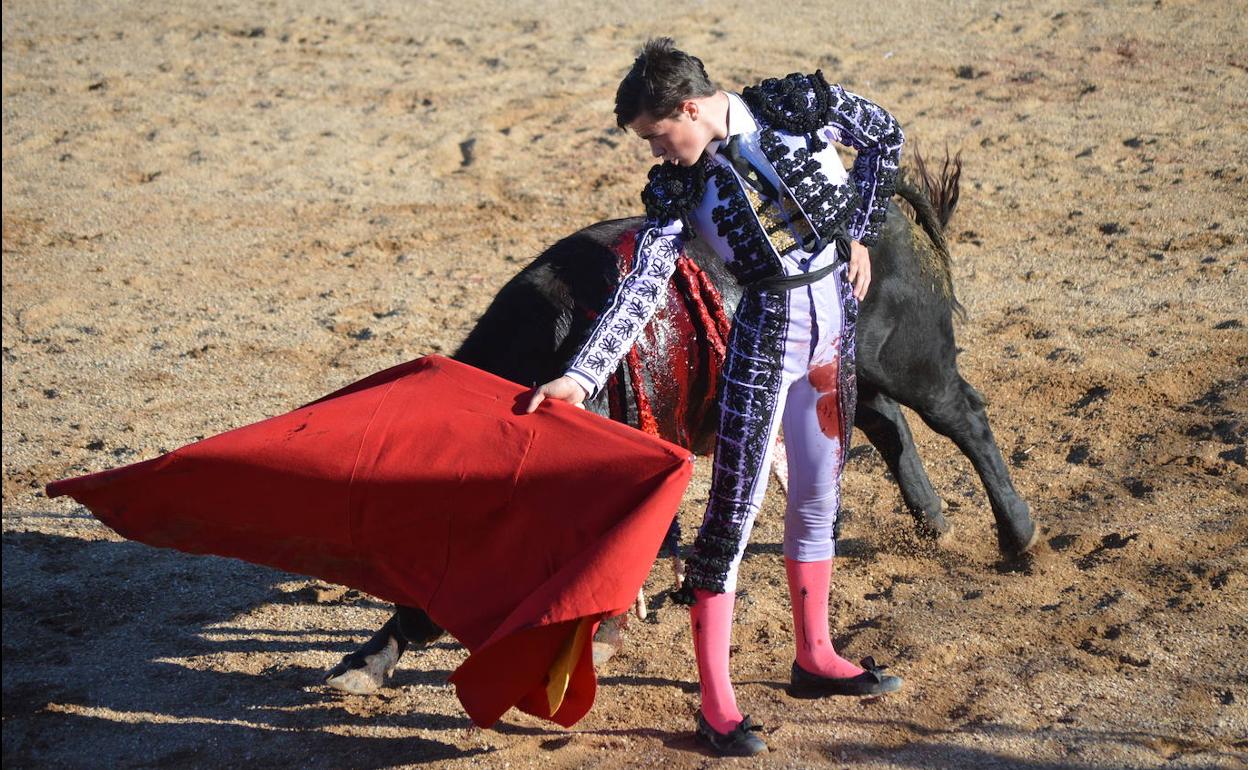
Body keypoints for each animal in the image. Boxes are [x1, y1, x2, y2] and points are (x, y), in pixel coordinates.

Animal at [321, 160, 1033, 683]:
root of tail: (874, 197)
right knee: (888, 425)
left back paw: (1017, 537)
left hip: (915, 362)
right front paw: (366, 662)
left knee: (961, 416)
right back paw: (934, 523)